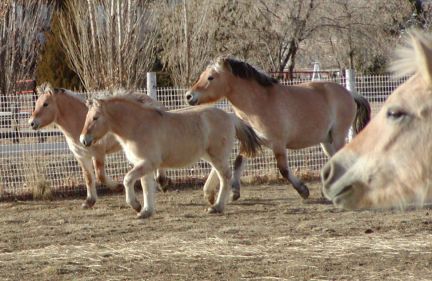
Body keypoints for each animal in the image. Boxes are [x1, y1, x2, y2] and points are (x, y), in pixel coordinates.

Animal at [28, 82, 169, 207]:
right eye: (36, 103)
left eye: (45, 104)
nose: (31, 123)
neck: (80, 121)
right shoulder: (81, 156)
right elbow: (88, 177)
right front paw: (89, 201)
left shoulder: (98, 153)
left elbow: (100, 176)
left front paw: (118, 187)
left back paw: (162, 182)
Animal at [79, 93, 264, 218]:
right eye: (87, 117)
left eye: (95, 118)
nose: (83, 140)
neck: (137, 125)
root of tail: (230, 116)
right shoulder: (144, 165)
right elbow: (146, 187)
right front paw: (145, 211)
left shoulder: (148, 163)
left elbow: (127, 179)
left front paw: (136, 205)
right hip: (209, 155)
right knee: (218, 173)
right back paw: (210, 196)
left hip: (216, 155)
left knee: (225, 176)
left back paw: (216, 207)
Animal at [186, 57, 372, 200]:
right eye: (202, 75)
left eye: (210, 78)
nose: (189, 96)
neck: (259, 104)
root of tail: (349, 94)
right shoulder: (252, 142)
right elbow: (238, 162)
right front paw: (235, 192)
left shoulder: (278, 144)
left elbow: (283, 170)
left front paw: (303, 191)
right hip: (326, 141)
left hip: (338, 136)